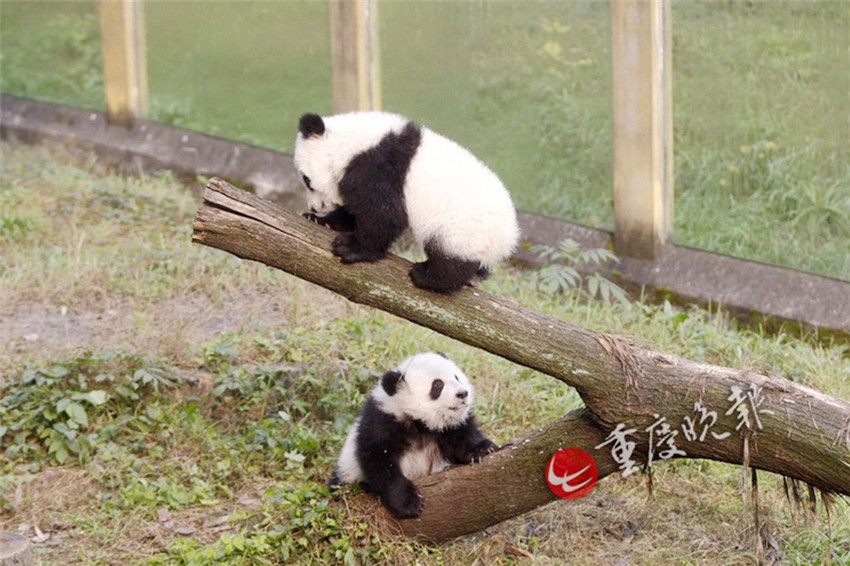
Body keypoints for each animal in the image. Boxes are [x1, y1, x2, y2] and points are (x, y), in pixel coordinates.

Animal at [293, 111, 520, 294]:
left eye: (307, 180)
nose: (315, 207)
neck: (349, 145)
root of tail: (507, 238)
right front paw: (319, 220)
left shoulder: (380, 169)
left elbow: (383, 215)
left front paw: (350, 248)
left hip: (463, 229)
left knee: (451, 259)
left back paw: (427, 276)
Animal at [328, 352, 498, 519]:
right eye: (437, 385)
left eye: (456, 377)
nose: (462, 393)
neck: (419, 423)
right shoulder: (381, 423)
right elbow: (380, 463)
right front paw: (409, 504)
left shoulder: (447, 428)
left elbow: (462, 437)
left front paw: (482, 449)